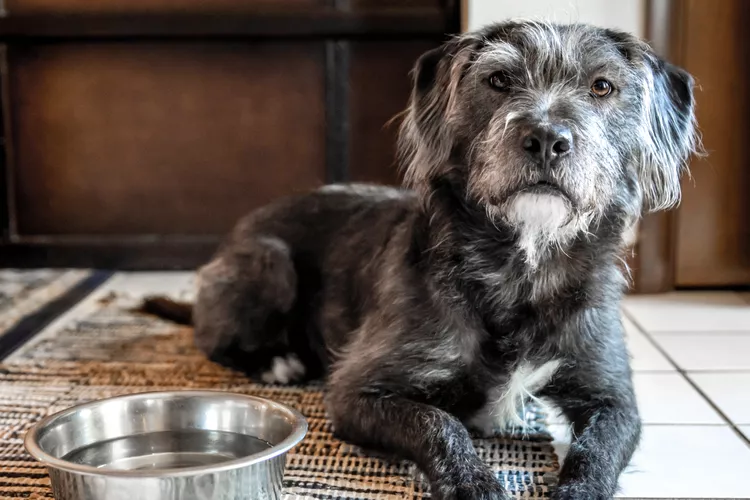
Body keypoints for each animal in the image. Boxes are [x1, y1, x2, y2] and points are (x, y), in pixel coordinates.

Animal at [145, 20, 700, 500]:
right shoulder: (355, 392)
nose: (546, 139)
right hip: (268, 262)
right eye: (499, 79)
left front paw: (577, 490)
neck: (521, 265)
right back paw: (275, 360)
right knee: (214, 340)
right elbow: (439, 421)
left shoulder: (613, 398)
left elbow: (597, 452)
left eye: (602, 86)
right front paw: (474, 482)